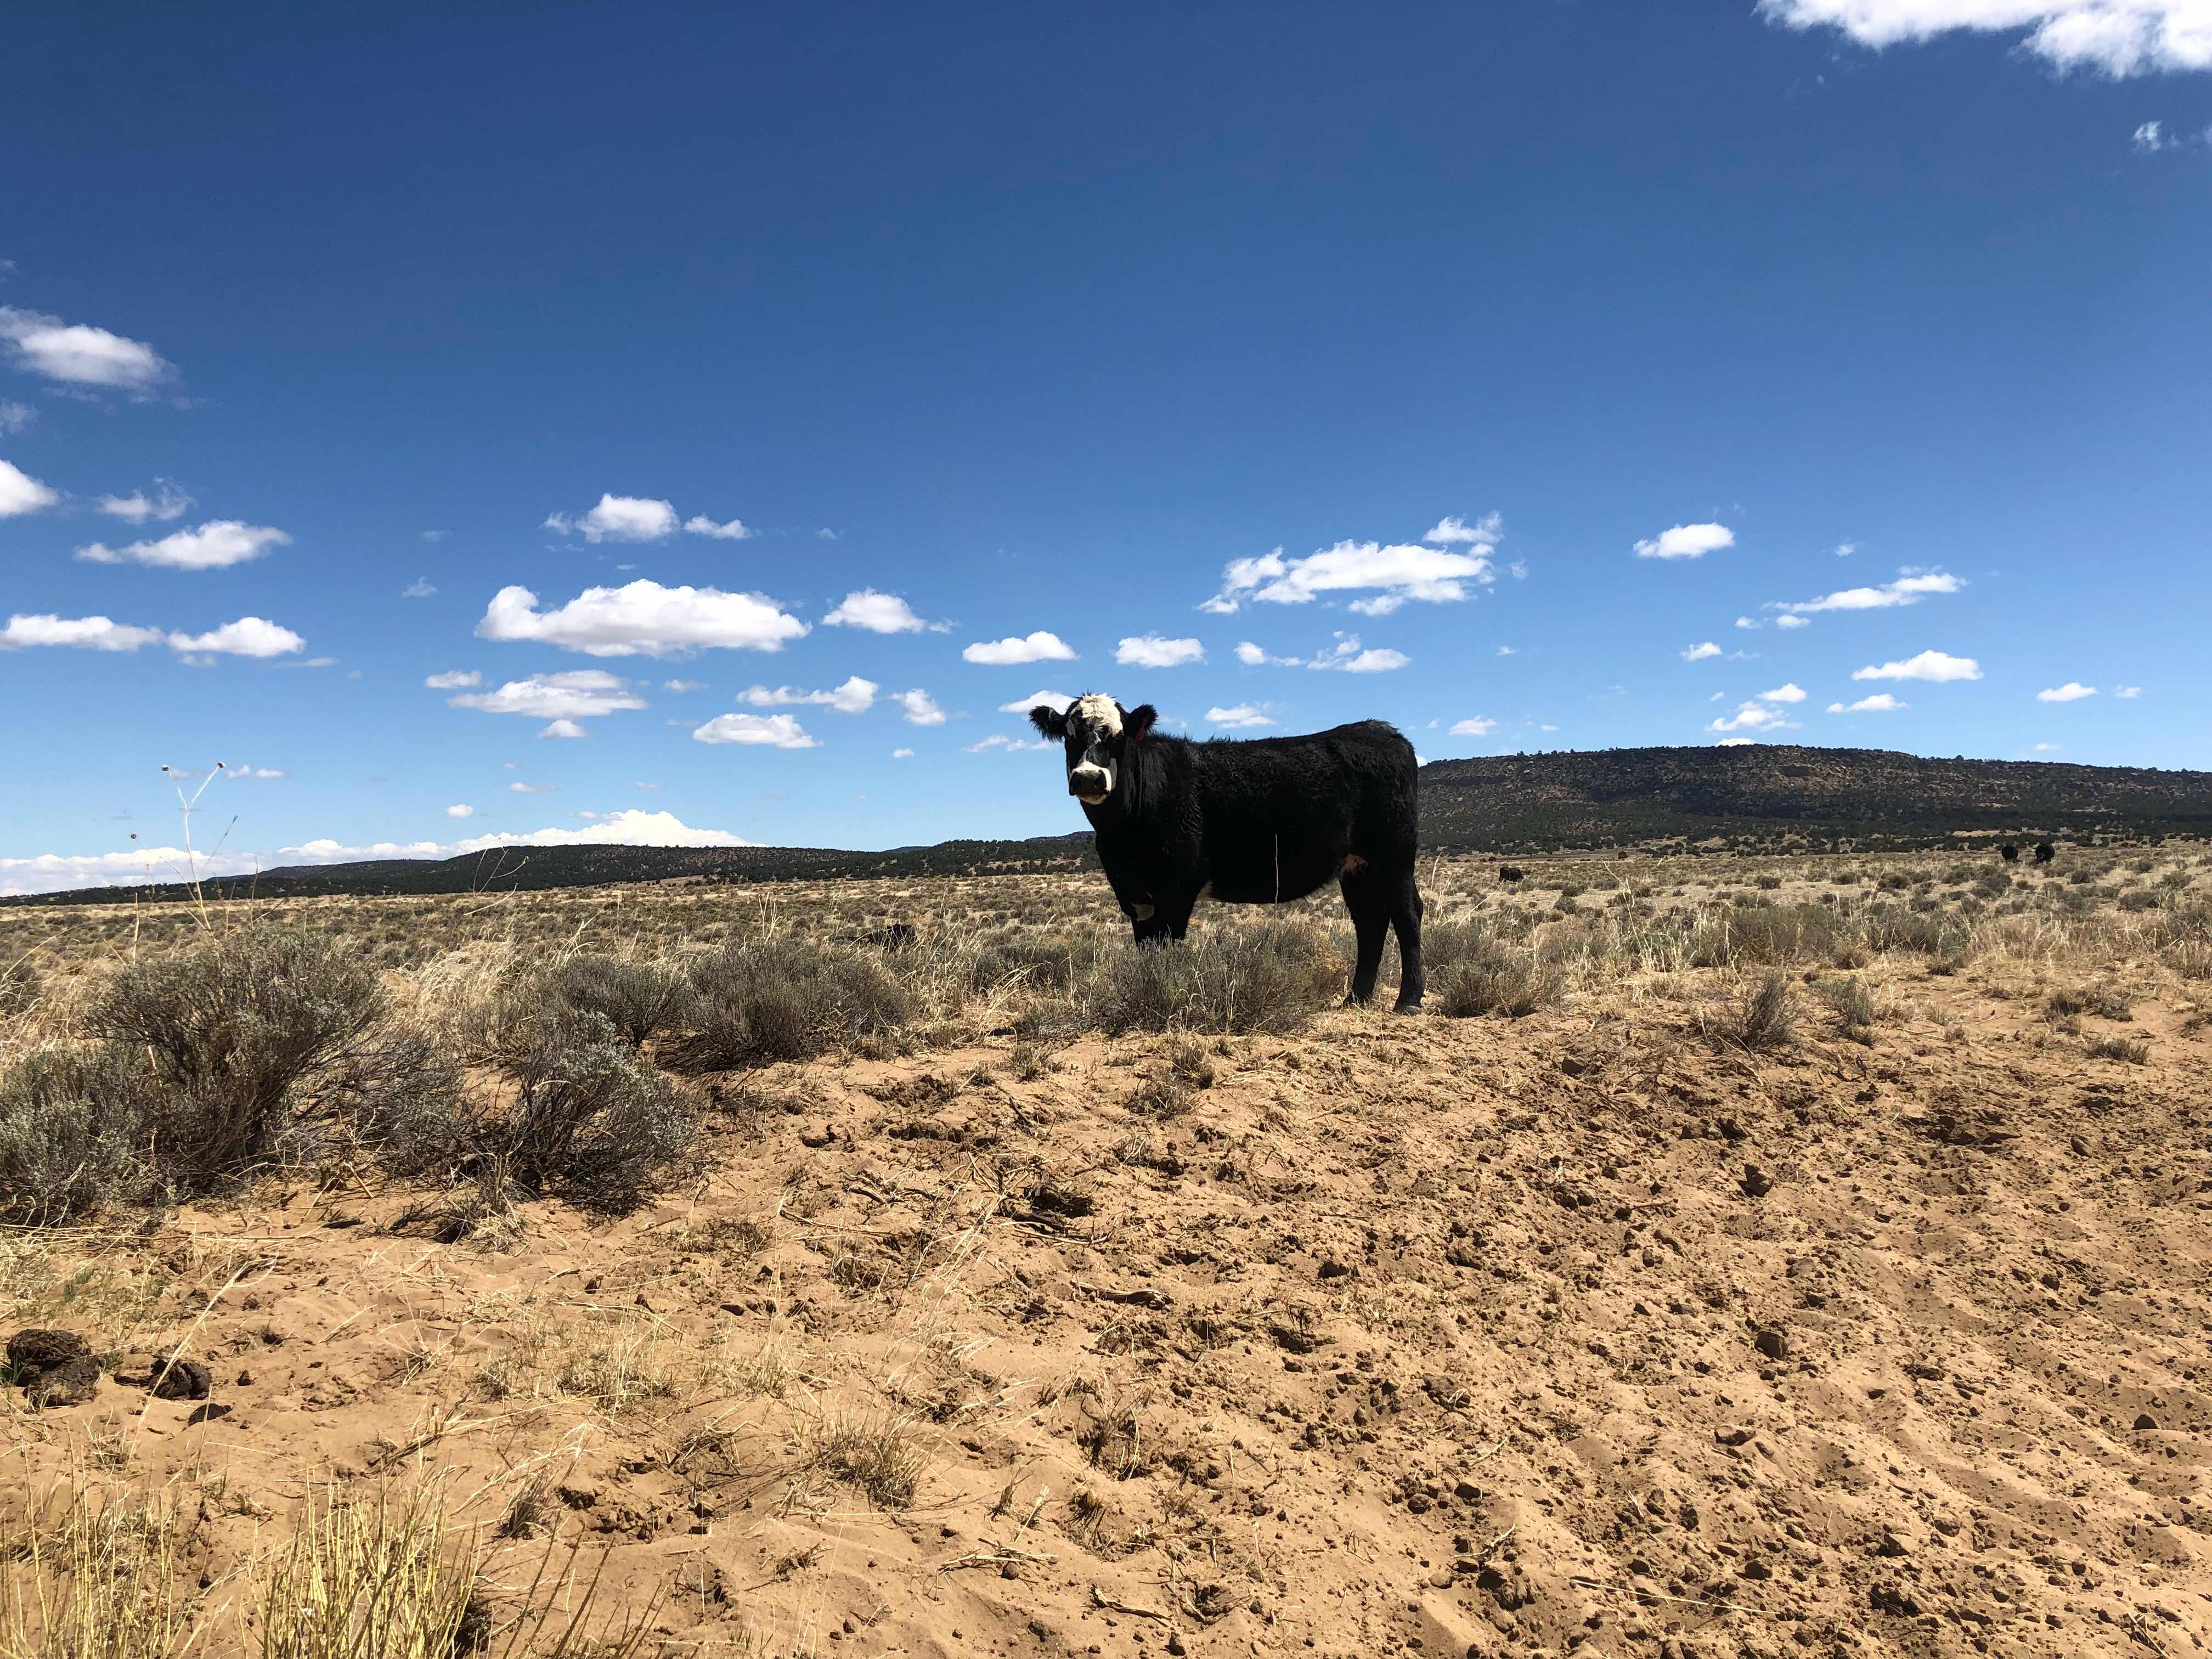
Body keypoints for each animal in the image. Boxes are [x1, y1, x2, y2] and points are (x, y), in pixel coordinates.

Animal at [1028, 694, 1425, 1012]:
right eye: (1069, 736)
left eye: (1118, 736)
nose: (1089, 778)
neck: (1123, 834)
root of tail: (1383, 731)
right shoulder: (1134, 894)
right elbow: (1148, 947)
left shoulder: (1178, 889)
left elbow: (1169, 945)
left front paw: (1167, 997)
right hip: (1357, 866)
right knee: (1371, 921)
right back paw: (1356, 999)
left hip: (1395, 854)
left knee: (1407, 914)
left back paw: (1408, 1000)